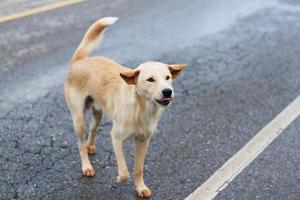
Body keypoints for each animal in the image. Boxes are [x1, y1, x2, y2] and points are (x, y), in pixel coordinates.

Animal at [63, 16, 185, 197]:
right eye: (150, 79)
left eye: (168, 77)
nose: (167, 91)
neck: (140, 108)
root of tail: (81, 60)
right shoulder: (116, 138)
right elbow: (125, 171)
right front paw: (119, 179)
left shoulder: (143, 141)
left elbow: (138, 169)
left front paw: (140, 188)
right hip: (79, 118)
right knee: (80, 144)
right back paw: (86, 166)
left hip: (98, 113)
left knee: (93, 129)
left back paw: (90, 145)